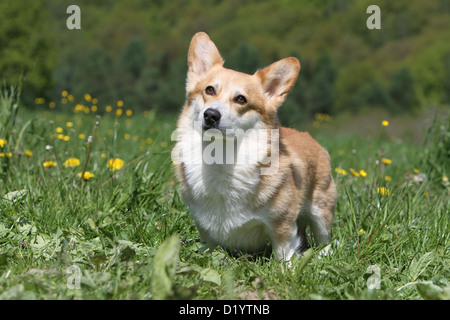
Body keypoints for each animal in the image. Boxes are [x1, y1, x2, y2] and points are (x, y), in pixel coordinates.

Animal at [174, 31, 336, 260]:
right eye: (209, 90)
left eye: (241, 99)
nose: (211, 115)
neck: (222, 157)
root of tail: (309, 137)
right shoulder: (204, 226)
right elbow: (209, 248)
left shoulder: (282, 225)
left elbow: (284, 253)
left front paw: (287, 268)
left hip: (320, 209)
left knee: (324, 239)